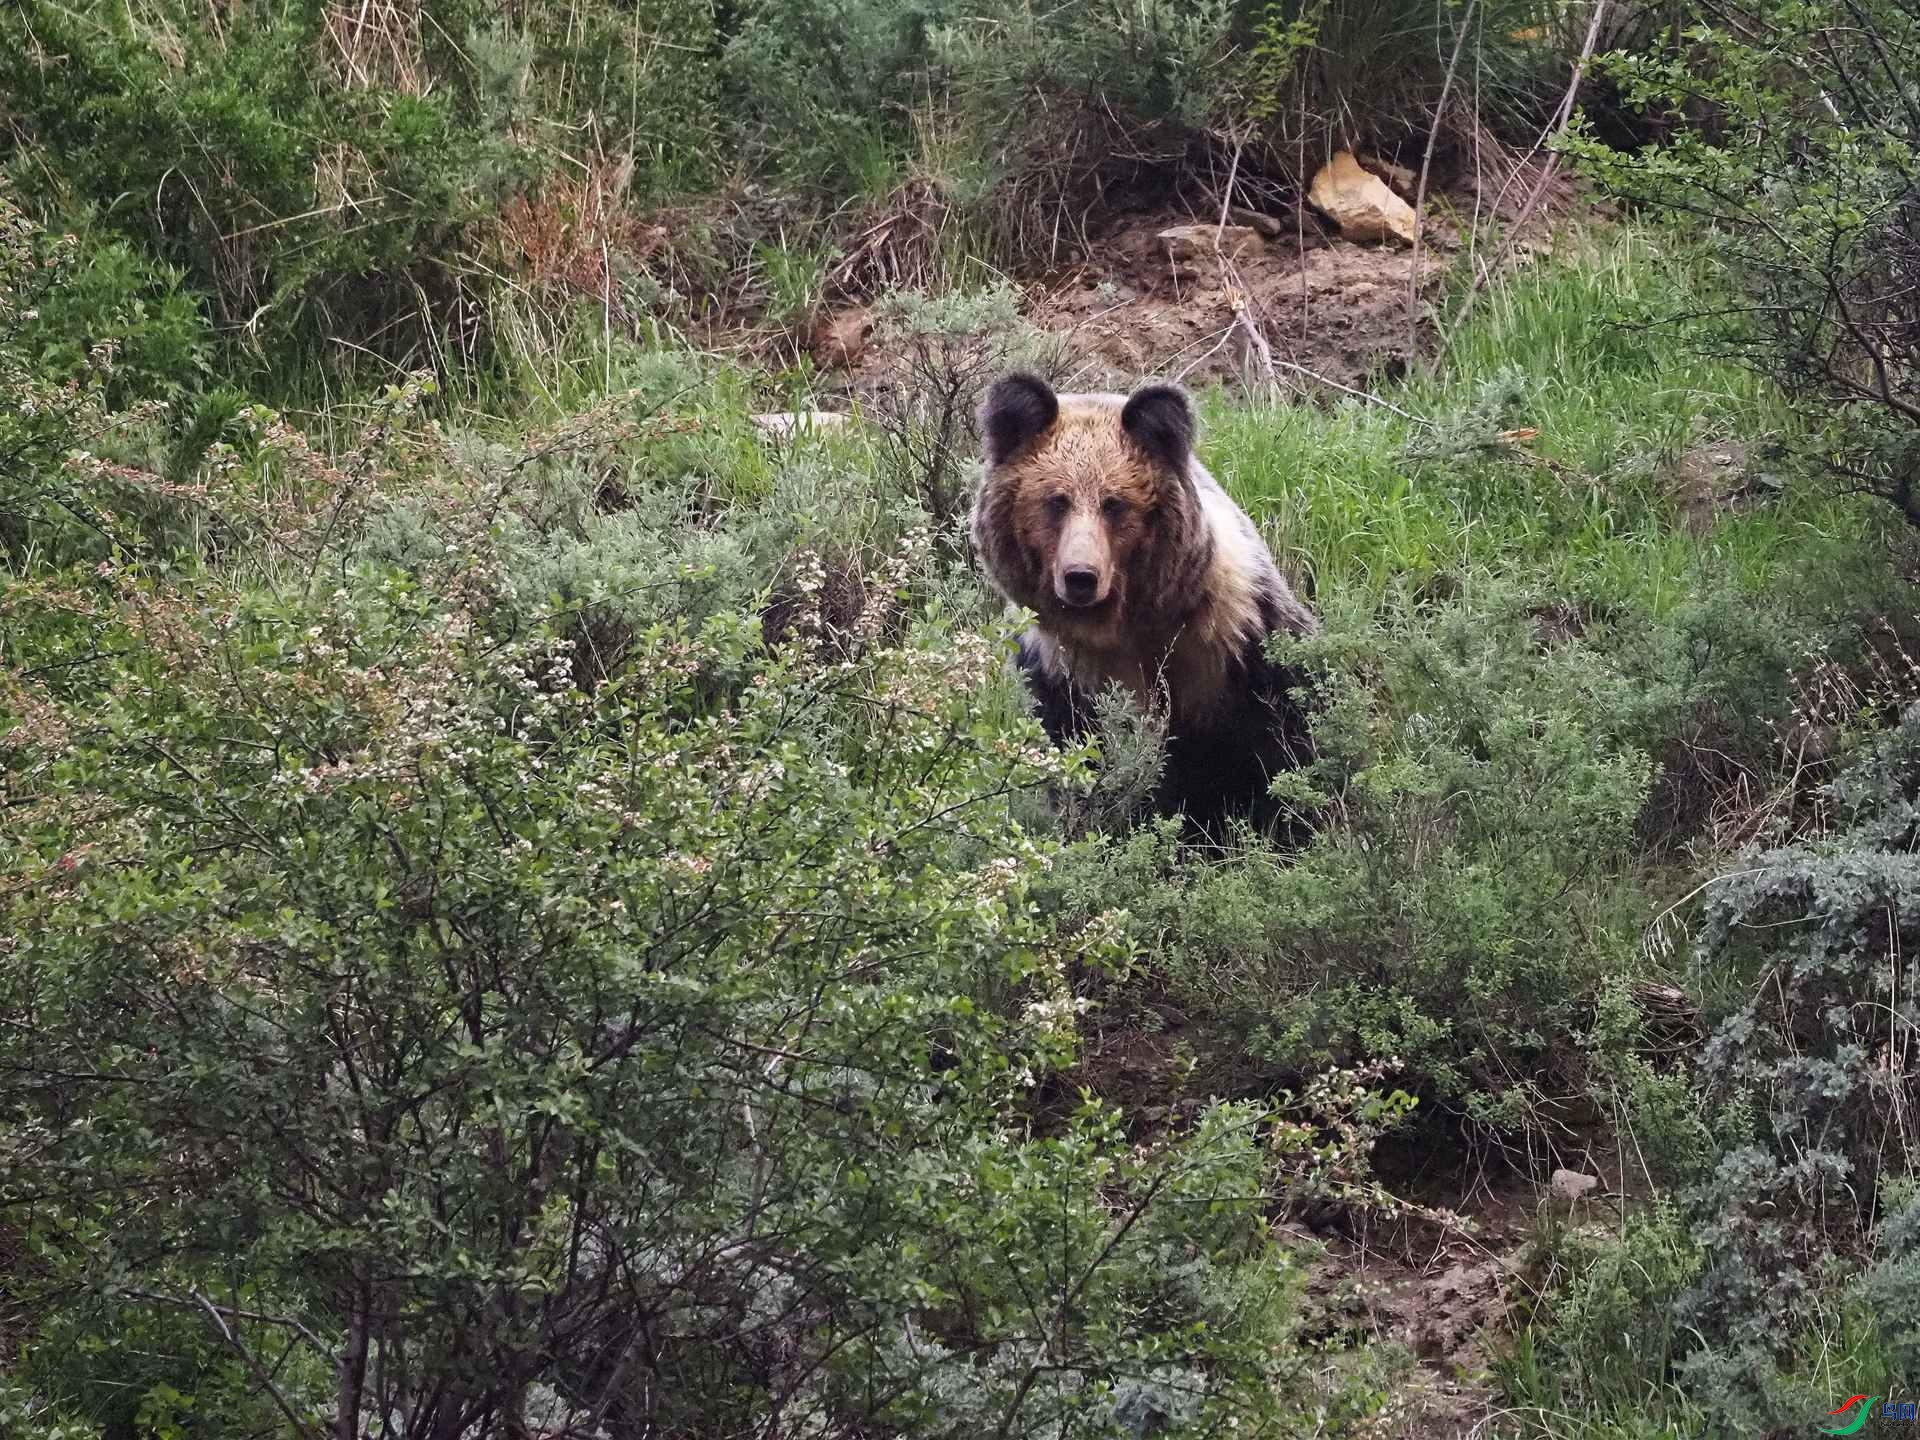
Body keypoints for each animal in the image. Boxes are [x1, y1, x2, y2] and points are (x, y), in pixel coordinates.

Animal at [975, 372, 1320, 833]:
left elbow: (1284, 738)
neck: (1126, 627)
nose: (1081, 577)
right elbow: (1089, 761)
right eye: (1056, 500)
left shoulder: (1233, 636)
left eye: (1114, 503)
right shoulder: (1063, 672)